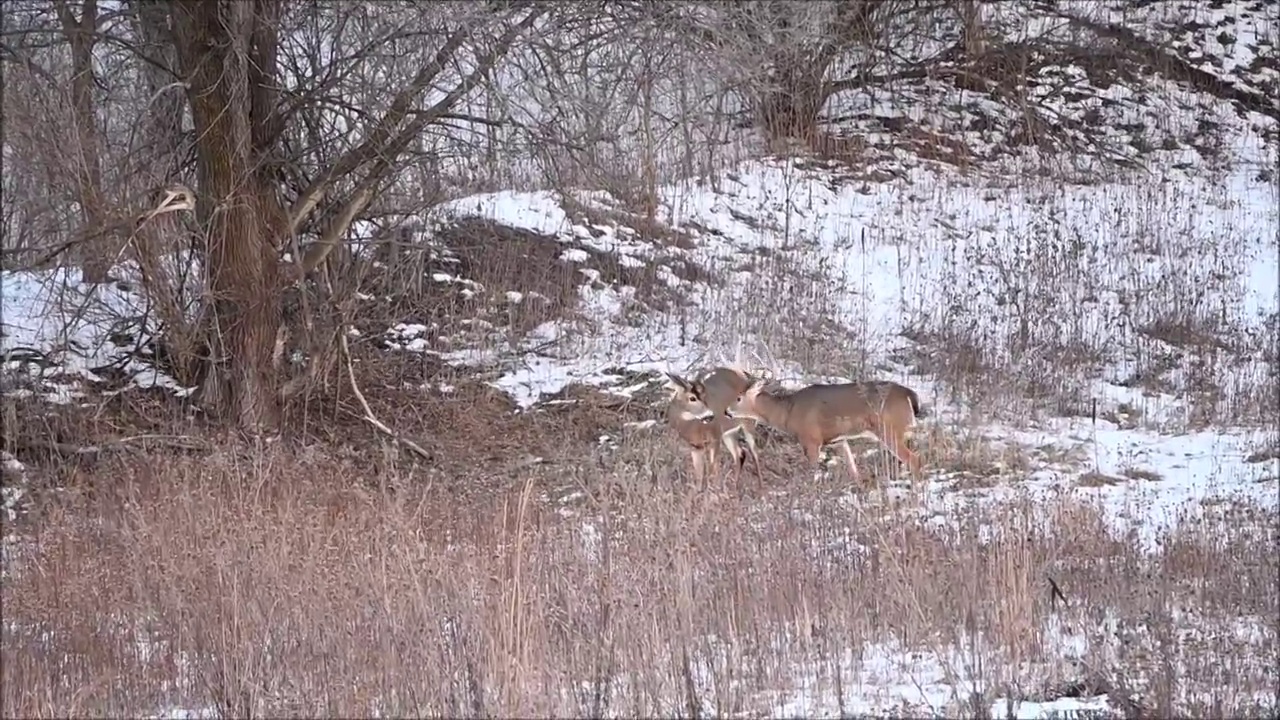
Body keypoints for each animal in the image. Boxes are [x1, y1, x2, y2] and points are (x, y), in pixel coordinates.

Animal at [727, 376, 926, 486]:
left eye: (738, 398)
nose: (727, 411)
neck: (787, 412)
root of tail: (911, 395)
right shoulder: (838, 439)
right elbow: (853, 469)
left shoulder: (810, 439)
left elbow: (813, 472)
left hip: (889, 429)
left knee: (914, 459)